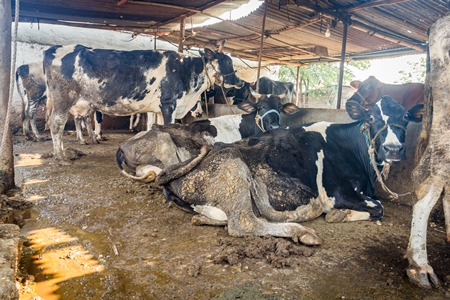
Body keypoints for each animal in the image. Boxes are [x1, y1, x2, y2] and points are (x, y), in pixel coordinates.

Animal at [44, 42, 244, 164]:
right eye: (228, 62)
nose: (240, 81)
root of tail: (52, 49)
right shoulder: (169, 103)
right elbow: (169, 127)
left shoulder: (158, 108)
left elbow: (155, 128)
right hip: (63, 99)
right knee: (56, 124)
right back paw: (61, 157)